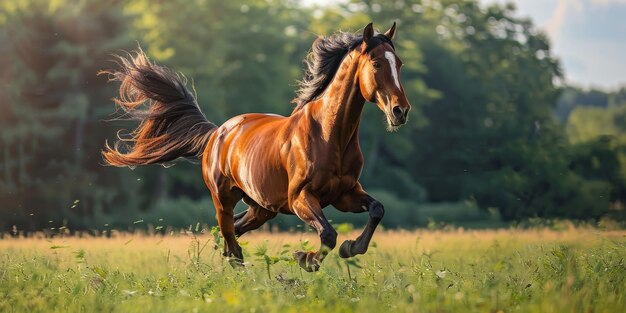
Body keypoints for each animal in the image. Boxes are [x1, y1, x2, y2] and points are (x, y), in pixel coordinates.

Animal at [102, 22, 410, 270]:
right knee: (230, 240)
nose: (400, 111)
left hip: (262, 208)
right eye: (376, 64)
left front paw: (351, 248)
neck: (329, 135)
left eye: (400, 64)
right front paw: (306, 259)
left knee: (232, 235)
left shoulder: (344, 194)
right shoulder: (300, 198)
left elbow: (377, 209)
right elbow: (328, 234)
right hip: (223, 199)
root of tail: (216, 133)